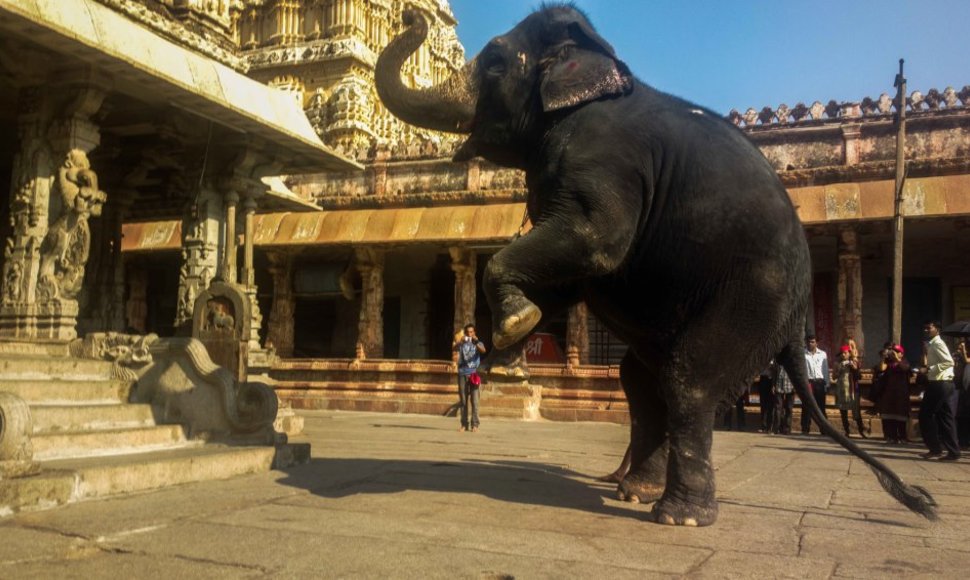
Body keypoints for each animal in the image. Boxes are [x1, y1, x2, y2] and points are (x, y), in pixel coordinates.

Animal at [374, 4, 932, 524]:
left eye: (493, 61)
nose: (414, 16)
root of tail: (797, 318)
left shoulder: (606, 163)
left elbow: (594, 242)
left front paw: (514, 324)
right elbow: (571, 273)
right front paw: (518, 332)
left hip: (755, 294)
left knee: (688, 380)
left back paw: (678, 514)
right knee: (642, 382)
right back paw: (636, 490)